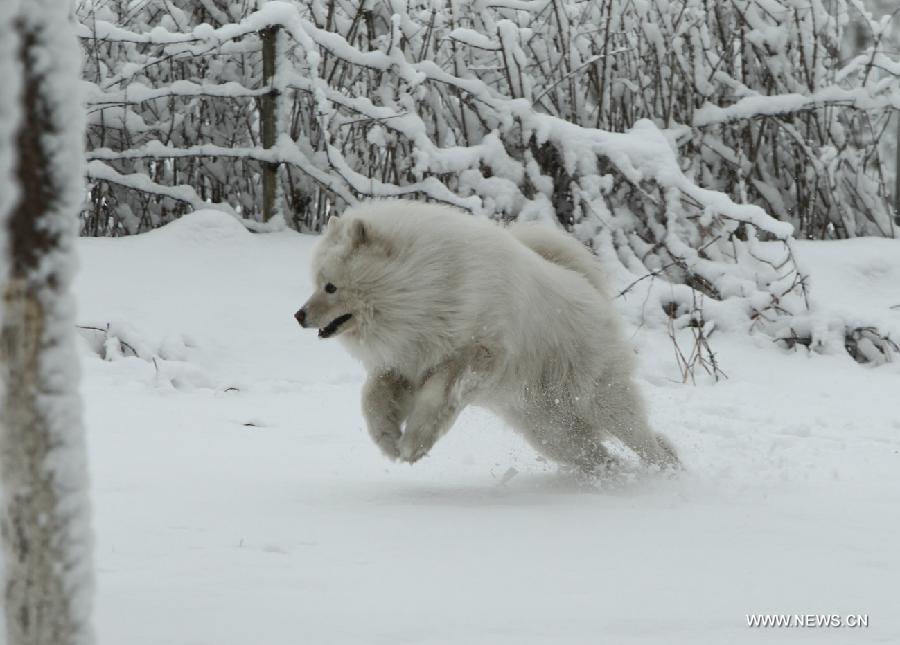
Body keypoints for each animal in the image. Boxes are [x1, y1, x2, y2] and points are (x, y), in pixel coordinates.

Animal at [296, 199, 676, 470]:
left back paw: (665, 472)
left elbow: (435, 396)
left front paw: (414, 444)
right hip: (548, 429)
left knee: (648, 440)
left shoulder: (478, 352)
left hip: (598, 398)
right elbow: (372, 399)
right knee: (596, 455)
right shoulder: (405, 362)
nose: (298, 316)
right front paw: (388, 441)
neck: (425, 288)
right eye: (316, 282)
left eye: (331, 287)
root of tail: (590, 289)